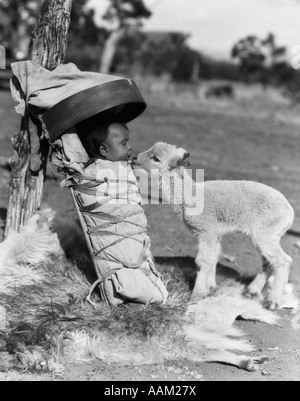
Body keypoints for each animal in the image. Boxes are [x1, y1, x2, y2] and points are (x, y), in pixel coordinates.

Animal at [132, 142, 294, 310]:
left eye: (156, 158)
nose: (134, 158)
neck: (189, 196)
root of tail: (290, 213)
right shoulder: (215, 232)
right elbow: (213, 257)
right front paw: (210, 288)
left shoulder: (206, 229)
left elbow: (203, 261)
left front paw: (196, 297)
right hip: (264, 234)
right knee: (268, 262)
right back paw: (251, 291)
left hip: (266, 232)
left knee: (284, 261)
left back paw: (273, 302)